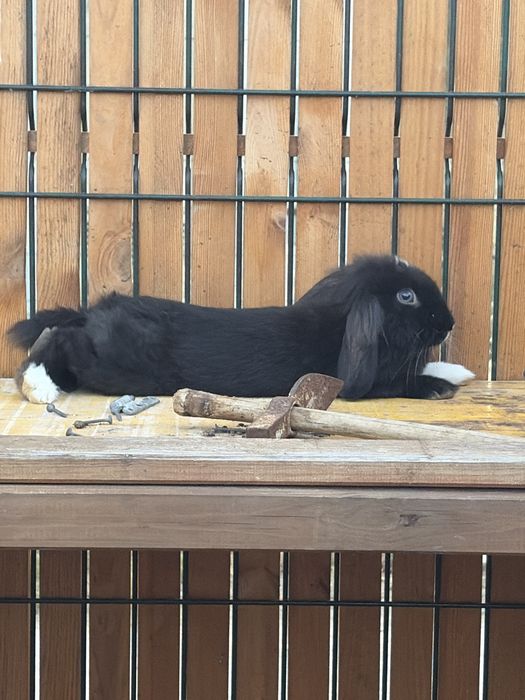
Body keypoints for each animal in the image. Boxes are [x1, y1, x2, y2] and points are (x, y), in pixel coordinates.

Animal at [8, 254, 474, 404]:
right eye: (406, 297)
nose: (449, 323)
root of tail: (94, 313)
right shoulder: (367, 384)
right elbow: (403, 382)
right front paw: (440, 386)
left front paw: (459, 372)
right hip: (113, 363)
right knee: (58, 341)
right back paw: (38, 388)